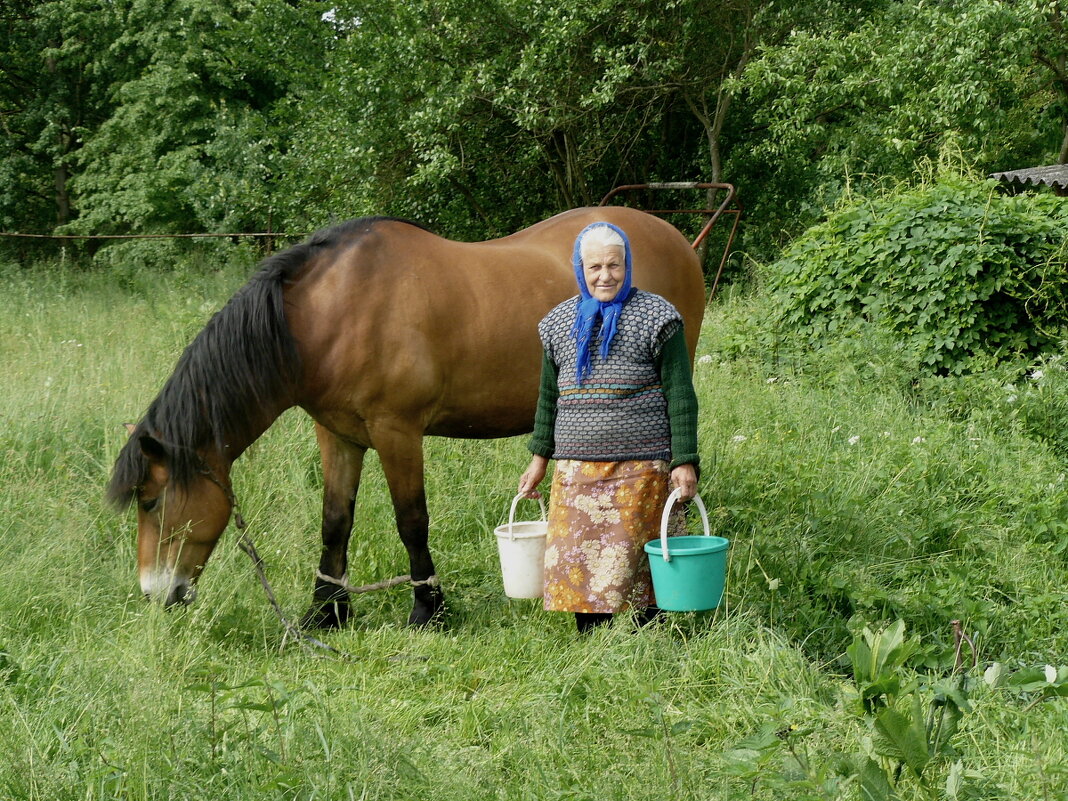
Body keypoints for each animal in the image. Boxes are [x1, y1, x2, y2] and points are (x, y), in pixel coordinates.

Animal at [106, 205, 709, 627]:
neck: (330, 313)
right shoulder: (338, 435)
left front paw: (428, 609)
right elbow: (335, 522)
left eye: (151, 500)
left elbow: (411, 520)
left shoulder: (397, 430)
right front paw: (327, 611)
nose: (156, 593)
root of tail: (678, 238)